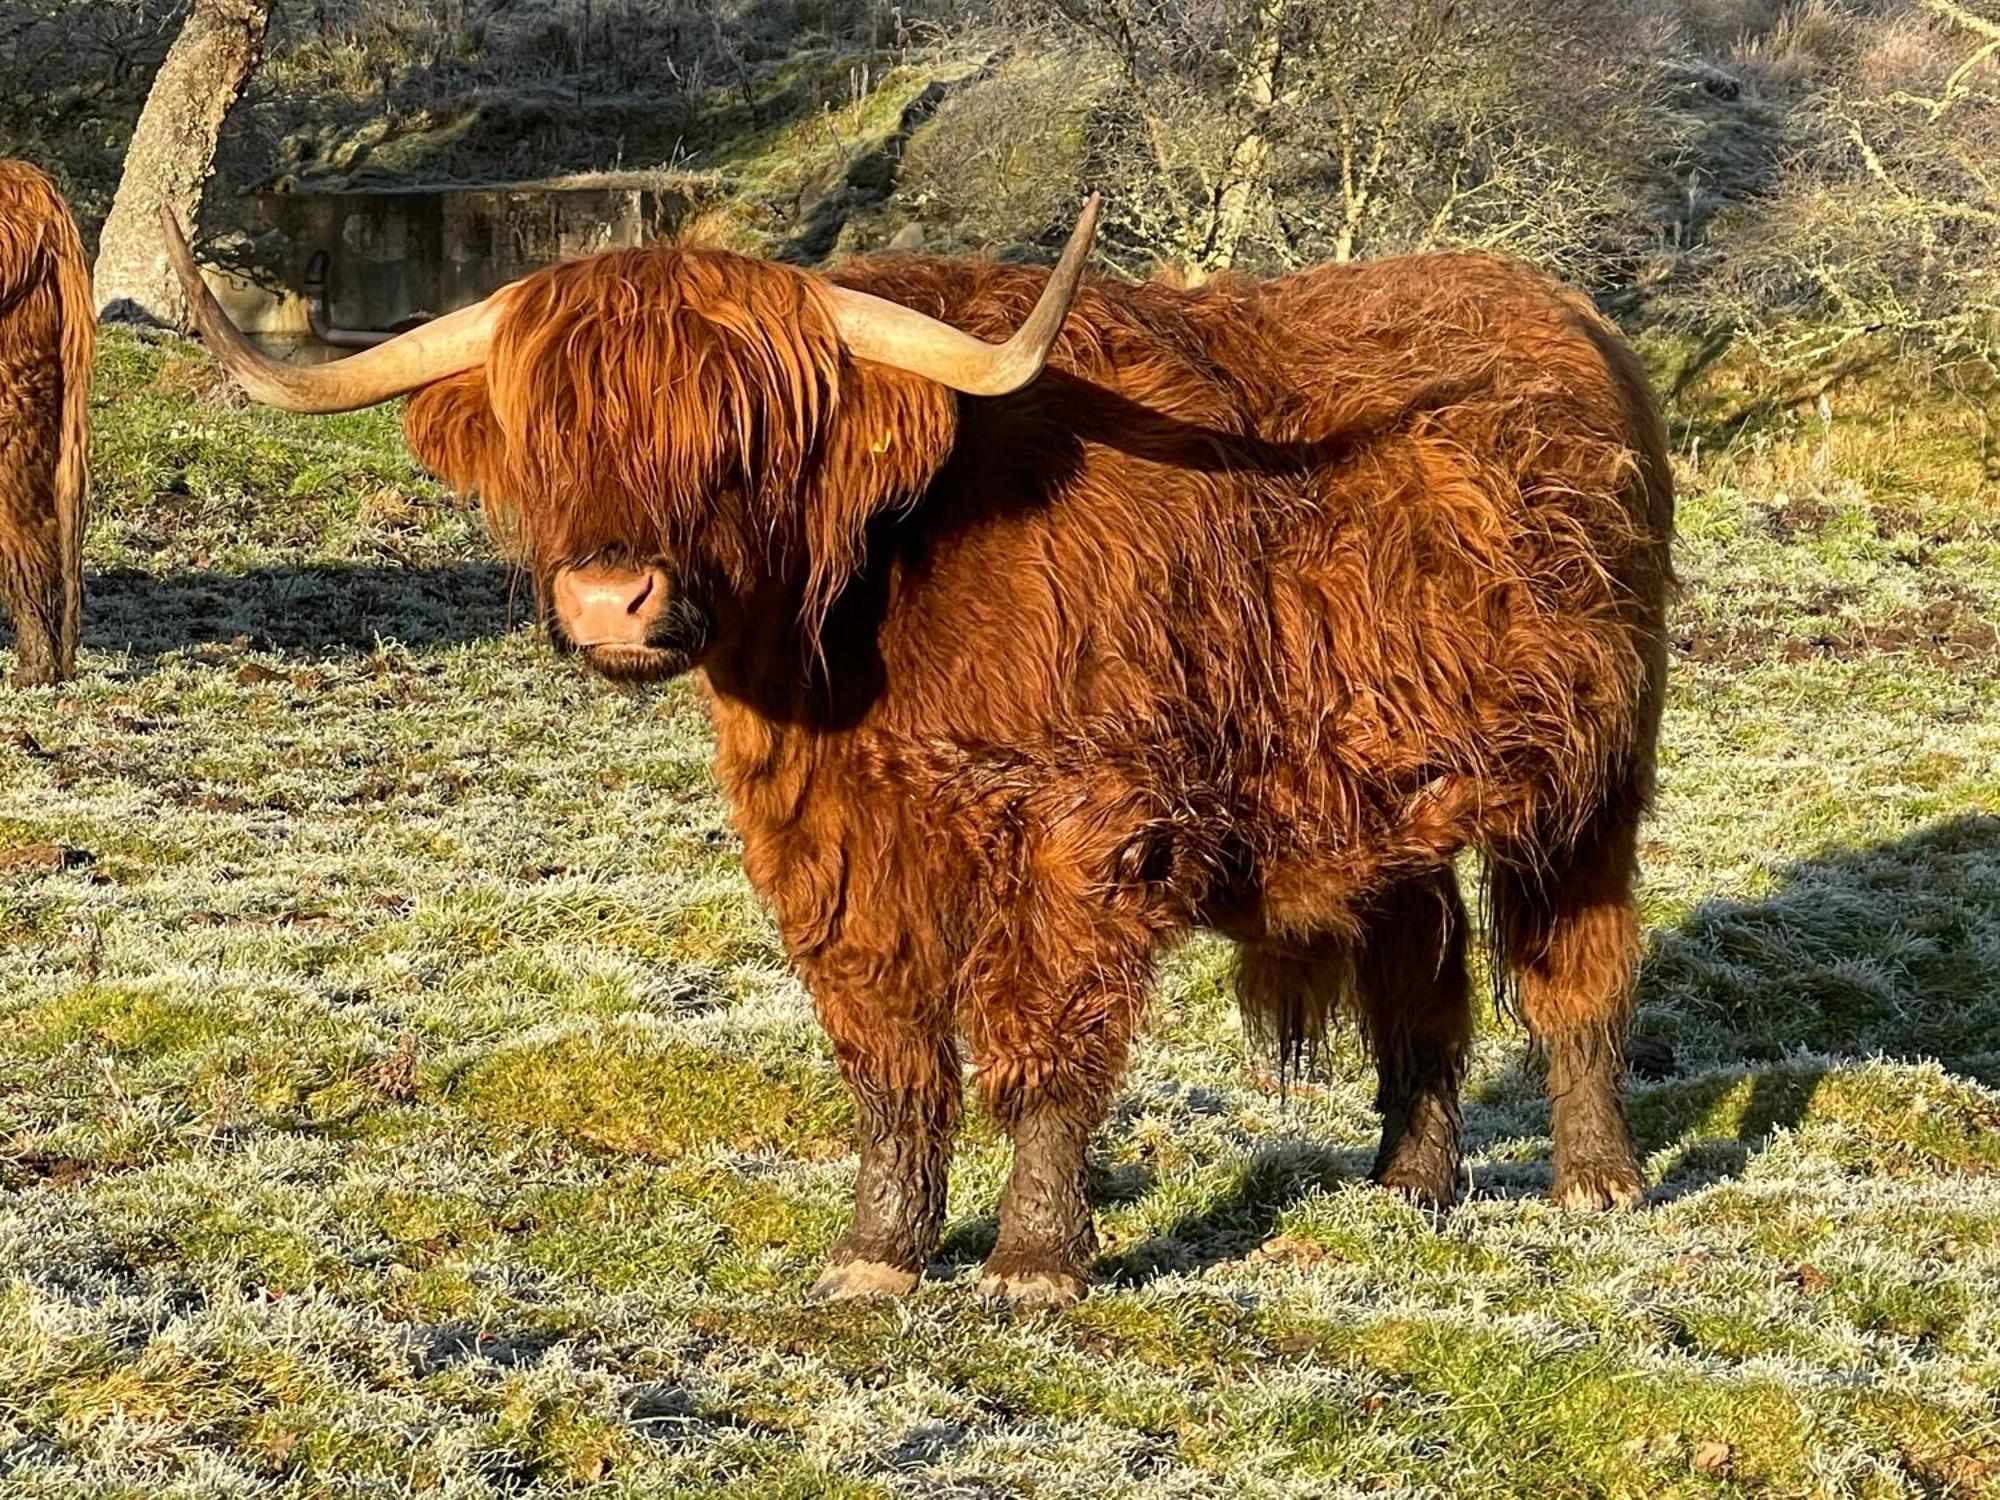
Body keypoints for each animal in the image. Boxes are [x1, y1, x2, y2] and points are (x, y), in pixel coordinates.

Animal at [168, 197, 1672, 1304]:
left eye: (740, 439)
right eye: (553, 436)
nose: (610, 601)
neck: (866, 623)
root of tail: (1566, 314)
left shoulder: (1081, 830)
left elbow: (1042, 1037)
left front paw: (1032, 1263)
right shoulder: (831, 842)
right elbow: (886, 1052)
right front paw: (879, 1254)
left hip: (1592, 770)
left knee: (1573, 959)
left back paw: (1595, 1178)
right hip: (1381, 784)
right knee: (1420, 965)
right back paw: (1407, 1183)